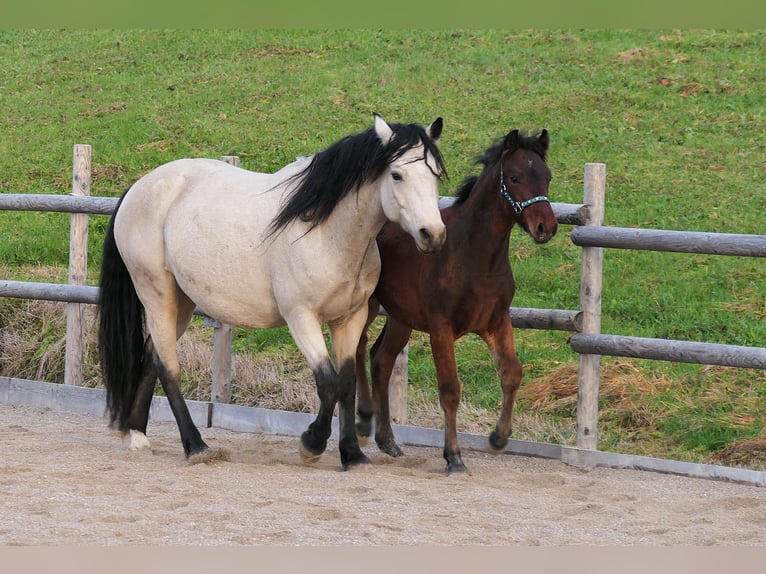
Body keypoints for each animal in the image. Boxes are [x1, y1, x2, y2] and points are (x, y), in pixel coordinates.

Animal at [99, 115, 448, 470]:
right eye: (397, 174)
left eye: (435, 173)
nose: (432, 235)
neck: (326, 232)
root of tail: (139, 187)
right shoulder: (301, 317)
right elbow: (328, 383)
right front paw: (311, 444)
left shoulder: (349, 319)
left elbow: (347, 384)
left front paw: (352, 454)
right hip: (157, 295)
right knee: (169, 368)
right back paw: (196, 446)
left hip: (181, 303)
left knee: (152, 355)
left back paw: (137, 434)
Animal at [354, 128, 560, 474]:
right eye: (515, 177)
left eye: (547, 176)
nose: (546, 227)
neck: (475, 256)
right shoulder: (441, 328)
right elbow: (450, 389)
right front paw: (453, 456)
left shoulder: (496, 321)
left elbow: (511, 373)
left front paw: (498, 438)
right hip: (366, 305)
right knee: (355, 348)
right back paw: (362, 422)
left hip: (401, 318)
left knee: (380, 359)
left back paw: (388, 440)